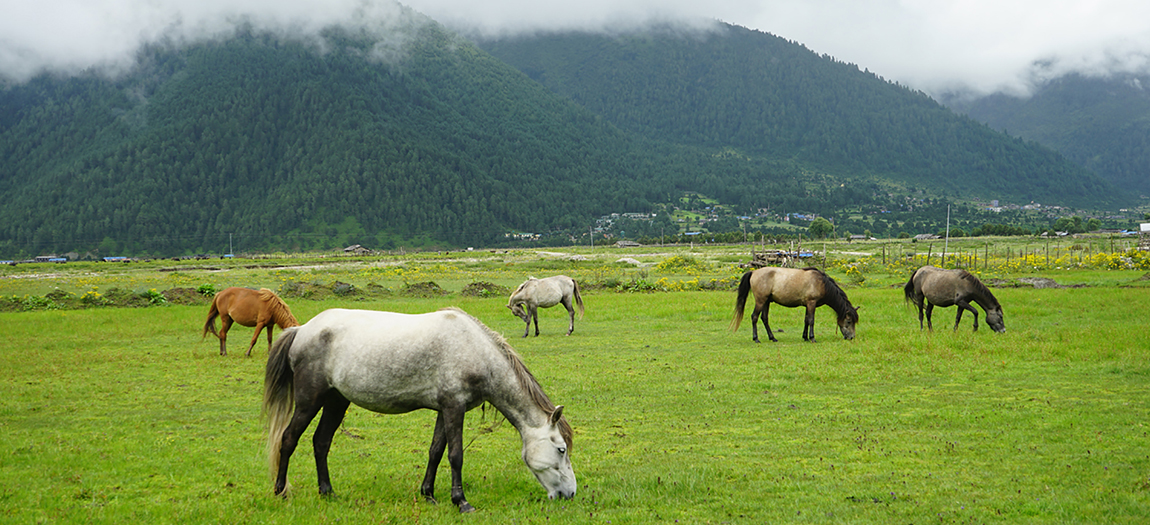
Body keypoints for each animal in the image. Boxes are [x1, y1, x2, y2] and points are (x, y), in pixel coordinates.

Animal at [264, 307, 579, 512]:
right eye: (561, 449)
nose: (570, 493)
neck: (475, 349)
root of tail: (301, 330)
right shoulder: (454, 408)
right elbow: (455, 455)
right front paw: (461, 502)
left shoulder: (444, 409)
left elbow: (435, 451)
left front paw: (428, 494)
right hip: (310, 401)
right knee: (289, 439)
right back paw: (280, 492)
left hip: (336, 401)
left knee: (321, 442)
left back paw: (327, 492)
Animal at [731, 266, 860, 344]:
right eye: (849, 322)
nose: (851, 337)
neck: (821, 283)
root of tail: (753, 272)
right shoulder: (811, 303)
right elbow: (811, 320)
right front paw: (812, 338)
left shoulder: (808, 305)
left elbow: (806, 320)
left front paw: (805, 337)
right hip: (760, 301)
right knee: (754, 317)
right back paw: (756, 338)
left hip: (766, 302)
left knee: (764, 318)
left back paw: (773, 338)